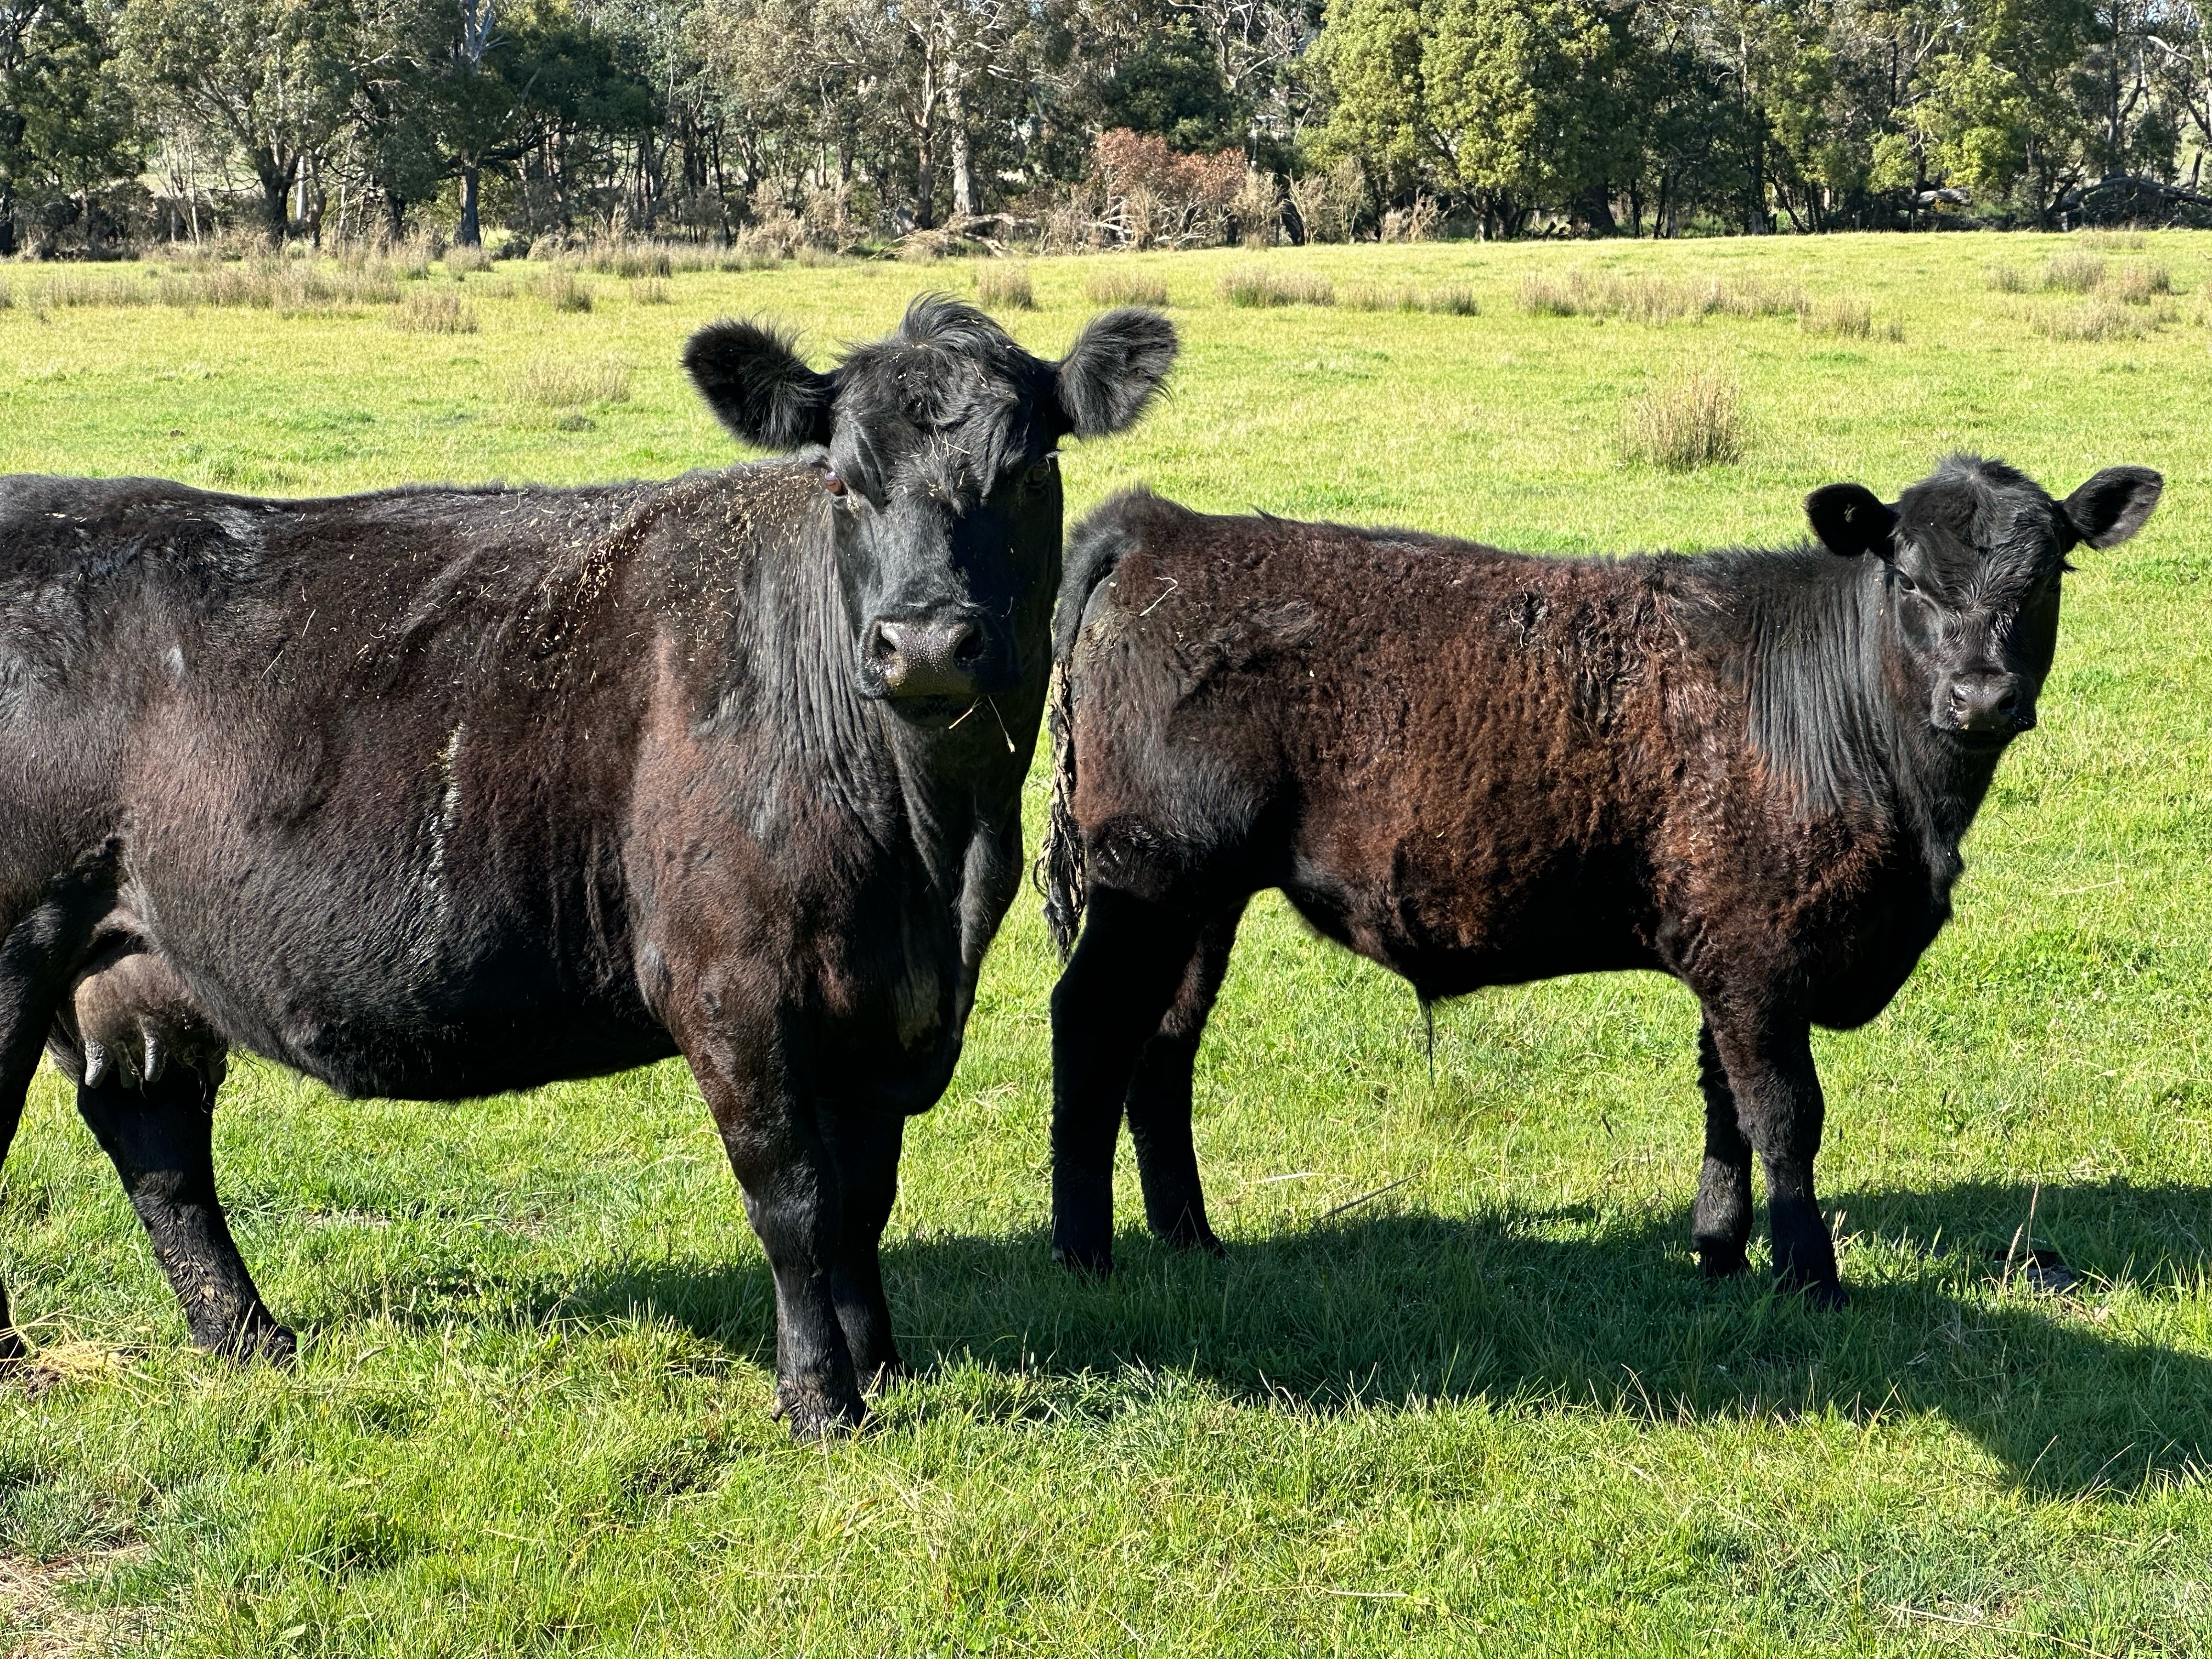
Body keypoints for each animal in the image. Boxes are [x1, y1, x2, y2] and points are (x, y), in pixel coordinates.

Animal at [0, 296, 1176, 1436]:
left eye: (1027, 468)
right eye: (843, 480)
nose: (924, 643)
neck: (934, 861)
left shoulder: (882, 1003)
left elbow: (863, 1198)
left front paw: (882, 1363)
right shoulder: (730, 984)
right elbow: (795, 1198)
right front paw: (821, 1397)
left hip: (135, 964)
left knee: (155, 1138)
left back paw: (249, 1337)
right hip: (18, 945)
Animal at [1039, 457, 2161, 1305]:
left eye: (2046, 578)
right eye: (1913, 582)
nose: (1983, 696)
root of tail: (1161, 529)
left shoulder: (1724, 953)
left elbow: (1724, 1105)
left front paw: (1717, 1252)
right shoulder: (1757, 958)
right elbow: (1785, 1115)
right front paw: (1810, 1278)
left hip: (1202, 900)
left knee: (1164, 1045)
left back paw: (1191, 1238)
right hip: (1151, 876)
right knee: (1093, 1024)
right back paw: (1085, 1254)